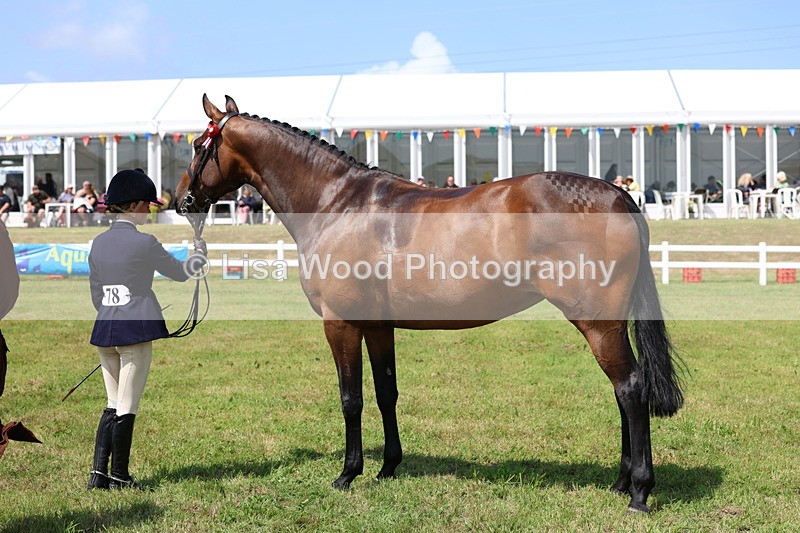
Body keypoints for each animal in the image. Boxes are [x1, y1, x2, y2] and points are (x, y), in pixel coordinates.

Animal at [175, 95, 684, 513]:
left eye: (199, 145)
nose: (181, 200)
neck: (337, 204)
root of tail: (618, 195)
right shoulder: (378, 325)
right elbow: (386, 392)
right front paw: (387, 468)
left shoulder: (341, 323)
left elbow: (351, 398)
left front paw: (348, 473)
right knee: (622, 391)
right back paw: (621, 483)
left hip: (598, 323)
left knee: (630, 388)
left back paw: (639, 492)